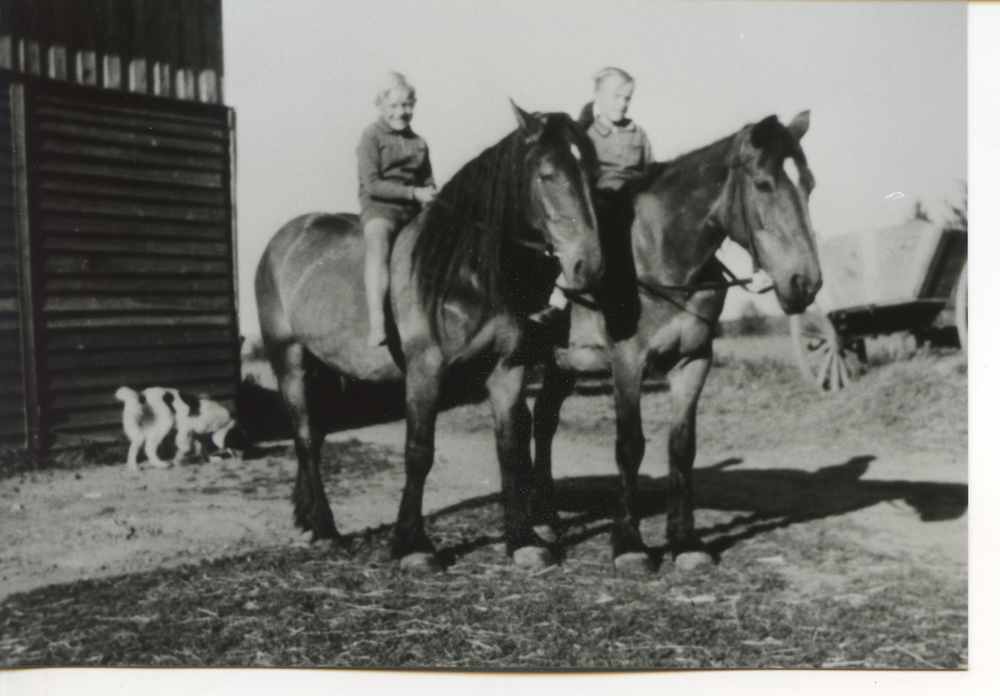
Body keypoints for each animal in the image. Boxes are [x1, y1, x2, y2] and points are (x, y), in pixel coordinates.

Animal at [258, 103, 600, 572]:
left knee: (315, 435)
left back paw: (309, 520)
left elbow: (510, 447)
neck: (465, 273)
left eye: (593, 171)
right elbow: (419, 452)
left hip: (324, 368)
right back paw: (326, 530)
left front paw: (524, 541)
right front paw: (413, 545)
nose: (589, 266)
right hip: (288, 359)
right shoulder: (426, 370)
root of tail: (285, 237)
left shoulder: (507, 369)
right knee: (307, 437)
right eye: (547, 174)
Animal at [532, 113, 820, 572]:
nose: (805, 283)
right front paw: (629, 544)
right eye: (763, 184)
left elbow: (682, 446)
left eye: (809, 185)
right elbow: (630, 445)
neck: (661, 260)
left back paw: (547, 519)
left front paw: (685, 541)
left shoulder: (694, 361)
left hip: (564, 365)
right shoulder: (627, 363)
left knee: (543, 423)